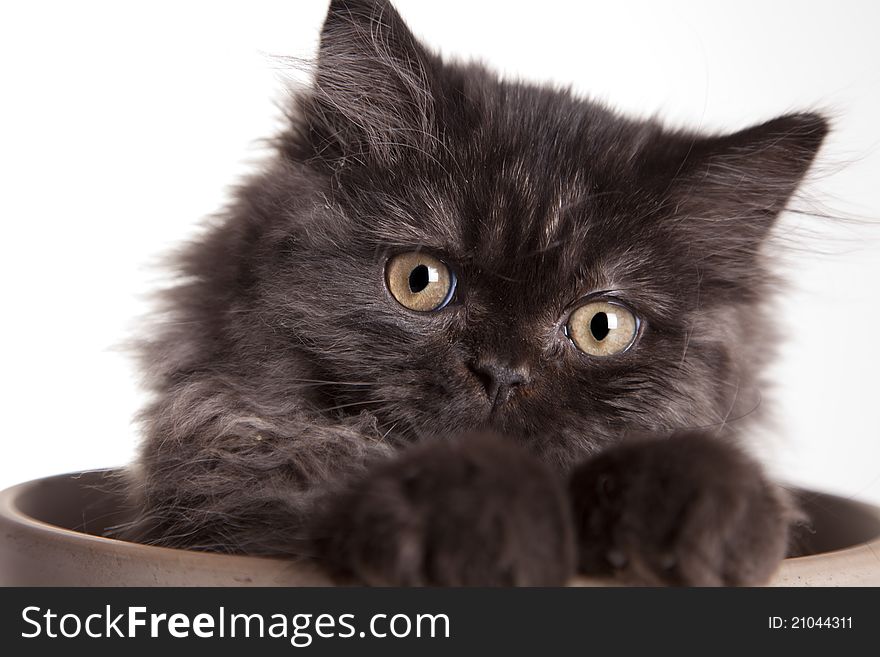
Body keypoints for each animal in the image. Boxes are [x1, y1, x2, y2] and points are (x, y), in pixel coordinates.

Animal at [120, 0, 828, 584]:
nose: (503, 373)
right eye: (419, 281)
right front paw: (486, 529)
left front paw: (712, 514)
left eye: (601, 326)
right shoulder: (231, 488)